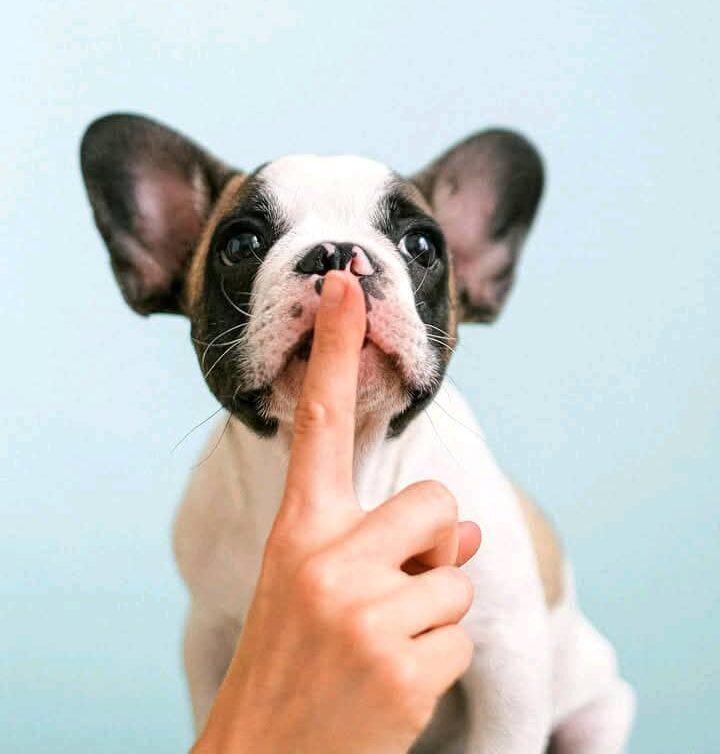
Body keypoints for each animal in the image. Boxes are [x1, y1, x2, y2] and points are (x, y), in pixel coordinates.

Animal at [80, 113, 634, 753]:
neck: (350, 468)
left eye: (421, 246)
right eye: (239, 245)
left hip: (598, 710)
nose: (337, 253)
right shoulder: (210, 637)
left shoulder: (507, 659)